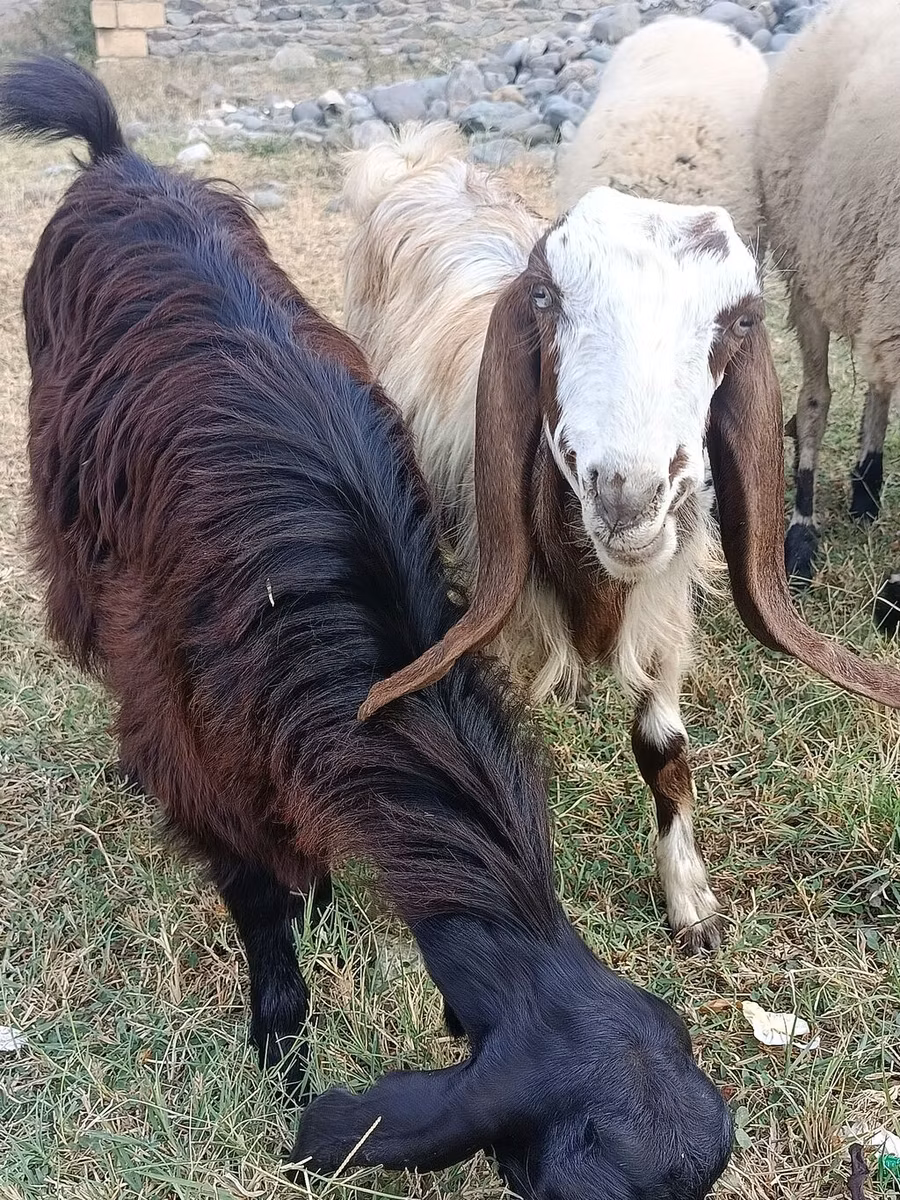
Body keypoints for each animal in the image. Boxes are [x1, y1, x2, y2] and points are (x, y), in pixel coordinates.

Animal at [342, 122, 900, 953]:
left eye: (742, 321)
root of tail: (416, 156)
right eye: (545, 297)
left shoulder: (665, 613)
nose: (628, 494)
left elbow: (665, 752)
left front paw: (691, 905)